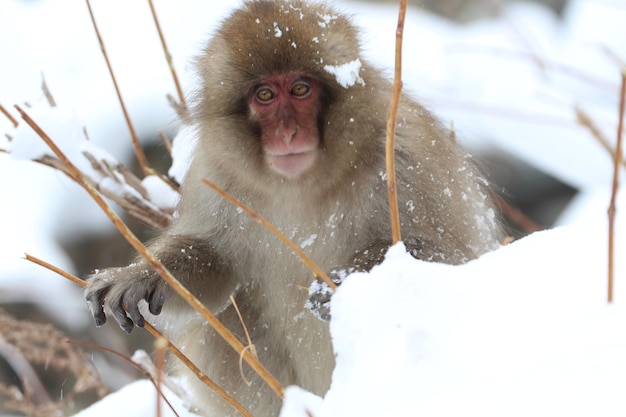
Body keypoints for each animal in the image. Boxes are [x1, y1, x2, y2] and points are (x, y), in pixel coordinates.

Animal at [85, 1, 500, 414]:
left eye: (301, 89)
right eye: (265, 95)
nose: (287, 133)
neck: (302, 185)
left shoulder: (405, 155)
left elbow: (449, 258)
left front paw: (347, 279)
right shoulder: (215, 173)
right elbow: (215, 262)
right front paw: (144, 276)